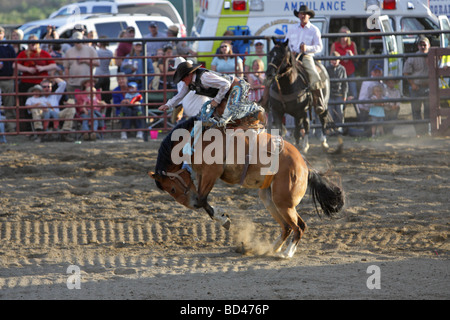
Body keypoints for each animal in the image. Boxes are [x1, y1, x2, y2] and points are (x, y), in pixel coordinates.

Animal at [149, 116, 342, 258]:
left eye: (172, 189)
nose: (192, 205)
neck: (196, 139)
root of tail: (305, 167)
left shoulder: (212, 172)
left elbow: (203, 199)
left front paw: (223, 218)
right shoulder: (202, 176)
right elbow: (203, 200)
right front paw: (222, 217)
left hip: (284, 203)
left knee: (299, 227)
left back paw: (286, 254)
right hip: (270, 199)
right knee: (287, 227)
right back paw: (271, 249)